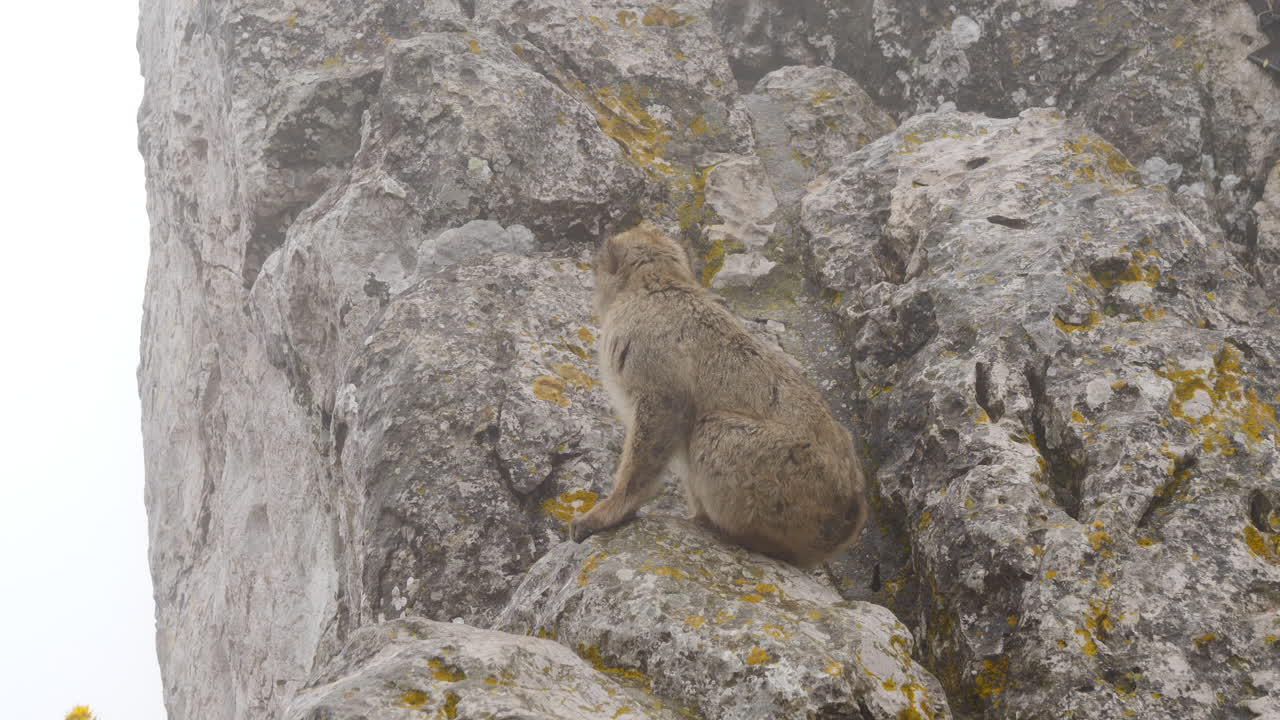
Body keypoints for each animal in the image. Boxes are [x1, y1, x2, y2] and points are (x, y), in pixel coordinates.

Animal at [569, 227, 869, 568]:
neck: (657, 282)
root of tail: (851, 517)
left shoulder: (644, 350)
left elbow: (662, 413)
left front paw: (613, 509)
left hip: (795, 476)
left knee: (712, 429)